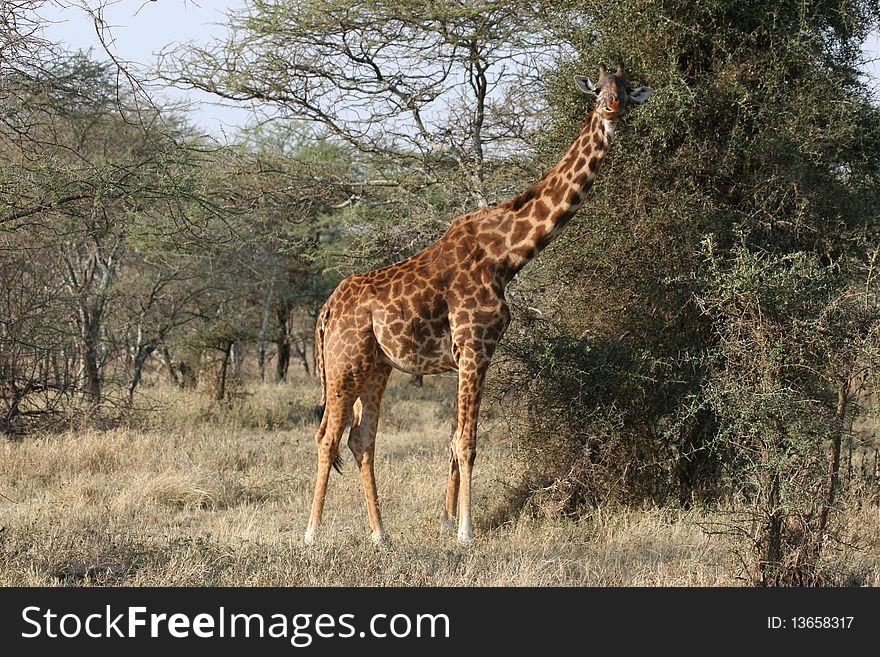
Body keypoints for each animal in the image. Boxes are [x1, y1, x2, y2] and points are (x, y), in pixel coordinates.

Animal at [304, 64, 652, 544]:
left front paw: (446, 522)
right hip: (345, 364)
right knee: (327, 436)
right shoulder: (475, 345)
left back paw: (381, 535)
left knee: (361, 439)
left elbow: (453, 440)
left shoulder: (466, 355)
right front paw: (466, 532)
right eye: (598, 89)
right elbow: (467, 442)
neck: (505, 255)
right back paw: (312, 534)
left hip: (376, 366)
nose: (612, 107)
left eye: (627, 89)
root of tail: (326, 311)